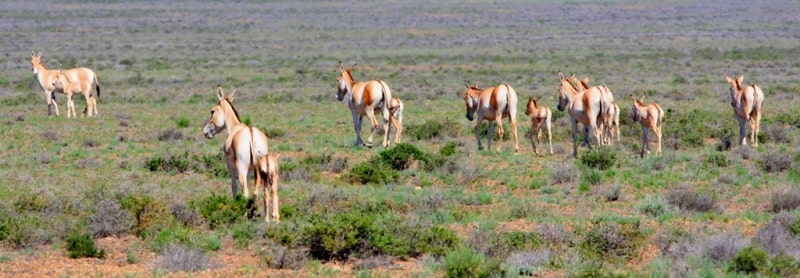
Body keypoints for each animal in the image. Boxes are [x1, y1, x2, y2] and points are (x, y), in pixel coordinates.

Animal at [202, 87, 280, 222]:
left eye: (212, 111)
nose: (206, 132)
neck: (236, 127)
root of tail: (251, 132)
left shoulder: (231, 167)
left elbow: (234, 186)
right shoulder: (250, 170)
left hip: (242, 169)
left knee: (246, 190)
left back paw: (246, 213)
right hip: (264, 170)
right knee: (261, 191)